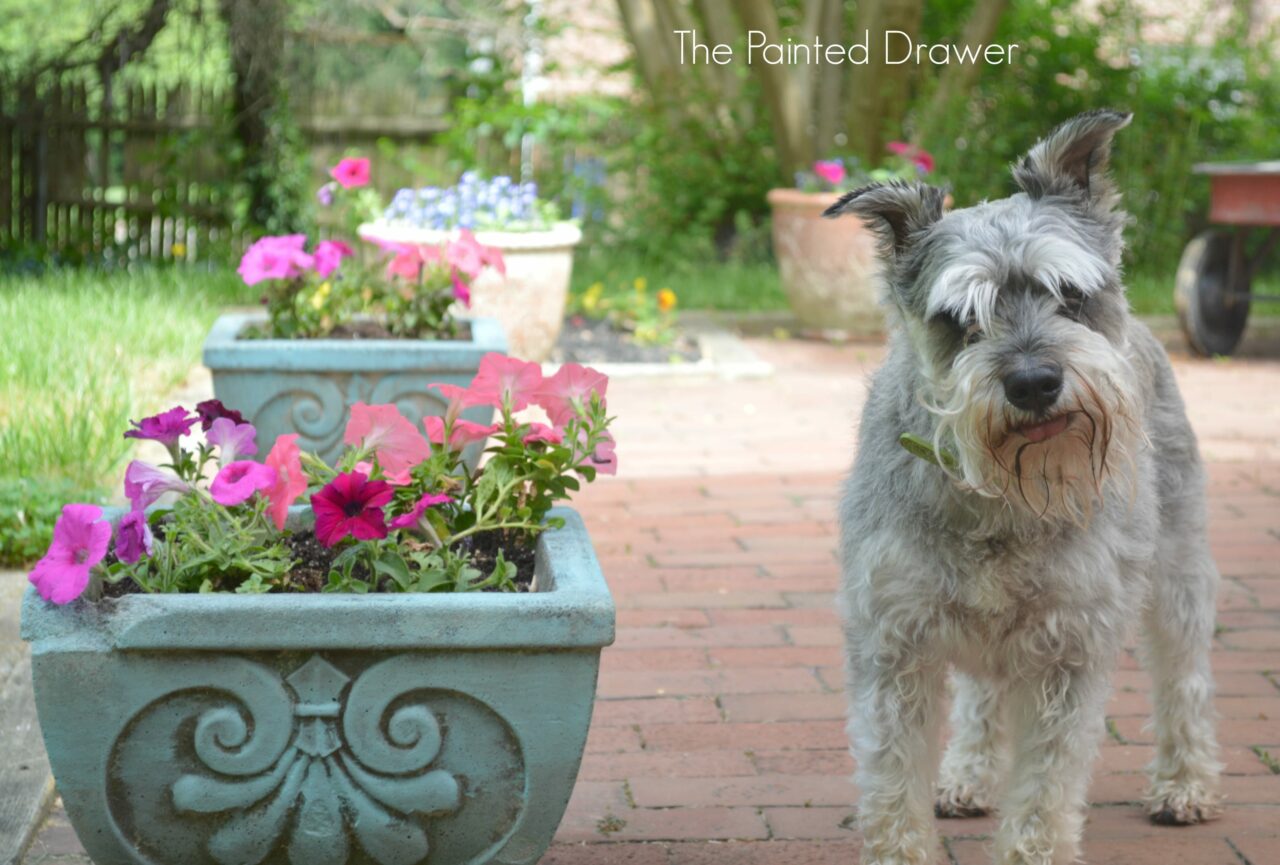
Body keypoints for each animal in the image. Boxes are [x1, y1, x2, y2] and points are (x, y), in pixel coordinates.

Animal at [824, 110, 1223, 865]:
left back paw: (1186, 783)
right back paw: (967, 774)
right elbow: (892, 779)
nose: (1034, 382)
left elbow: (1044, 784)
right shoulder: (893, 643)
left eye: (1070, 295)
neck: (999, 497)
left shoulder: (1070, 646)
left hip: (1179, 574)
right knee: (983, 695)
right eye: (959, 318)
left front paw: (1032, 848)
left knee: (1184, 677)